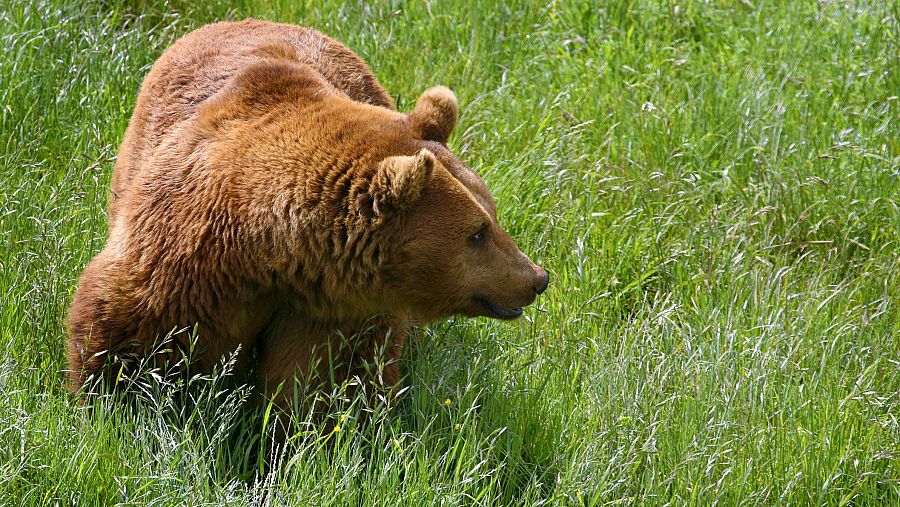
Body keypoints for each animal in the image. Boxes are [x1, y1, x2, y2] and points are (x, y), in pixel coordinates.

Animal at [67, 19, 549, 427]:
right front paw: (114, 404)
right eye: (476, 232)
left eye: (491, 216)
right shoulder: (185, 261)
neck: (270, 253)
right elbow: (128, 335)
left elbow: (324, 387)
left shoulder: (336, 309)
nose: (537, 277)